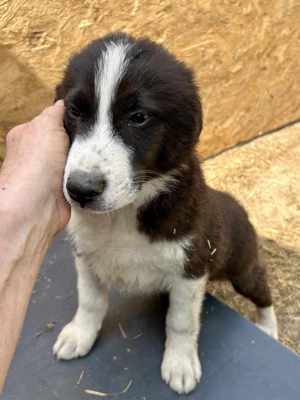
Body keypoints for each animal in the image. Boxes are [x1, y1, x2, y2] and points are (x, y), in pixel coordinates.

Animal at [52, 32, 278, 396]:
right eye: (73, 111)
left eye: (138, 117)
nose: (81, 190)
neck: (125, 212)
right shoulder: (86, 258)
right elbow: (89, 301)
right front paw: (79, 335)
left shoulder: (190, 271)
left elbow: (181, 322)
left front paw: (180, 365)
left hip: (242, 267)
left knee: (261, 289)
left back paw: (269, 327)